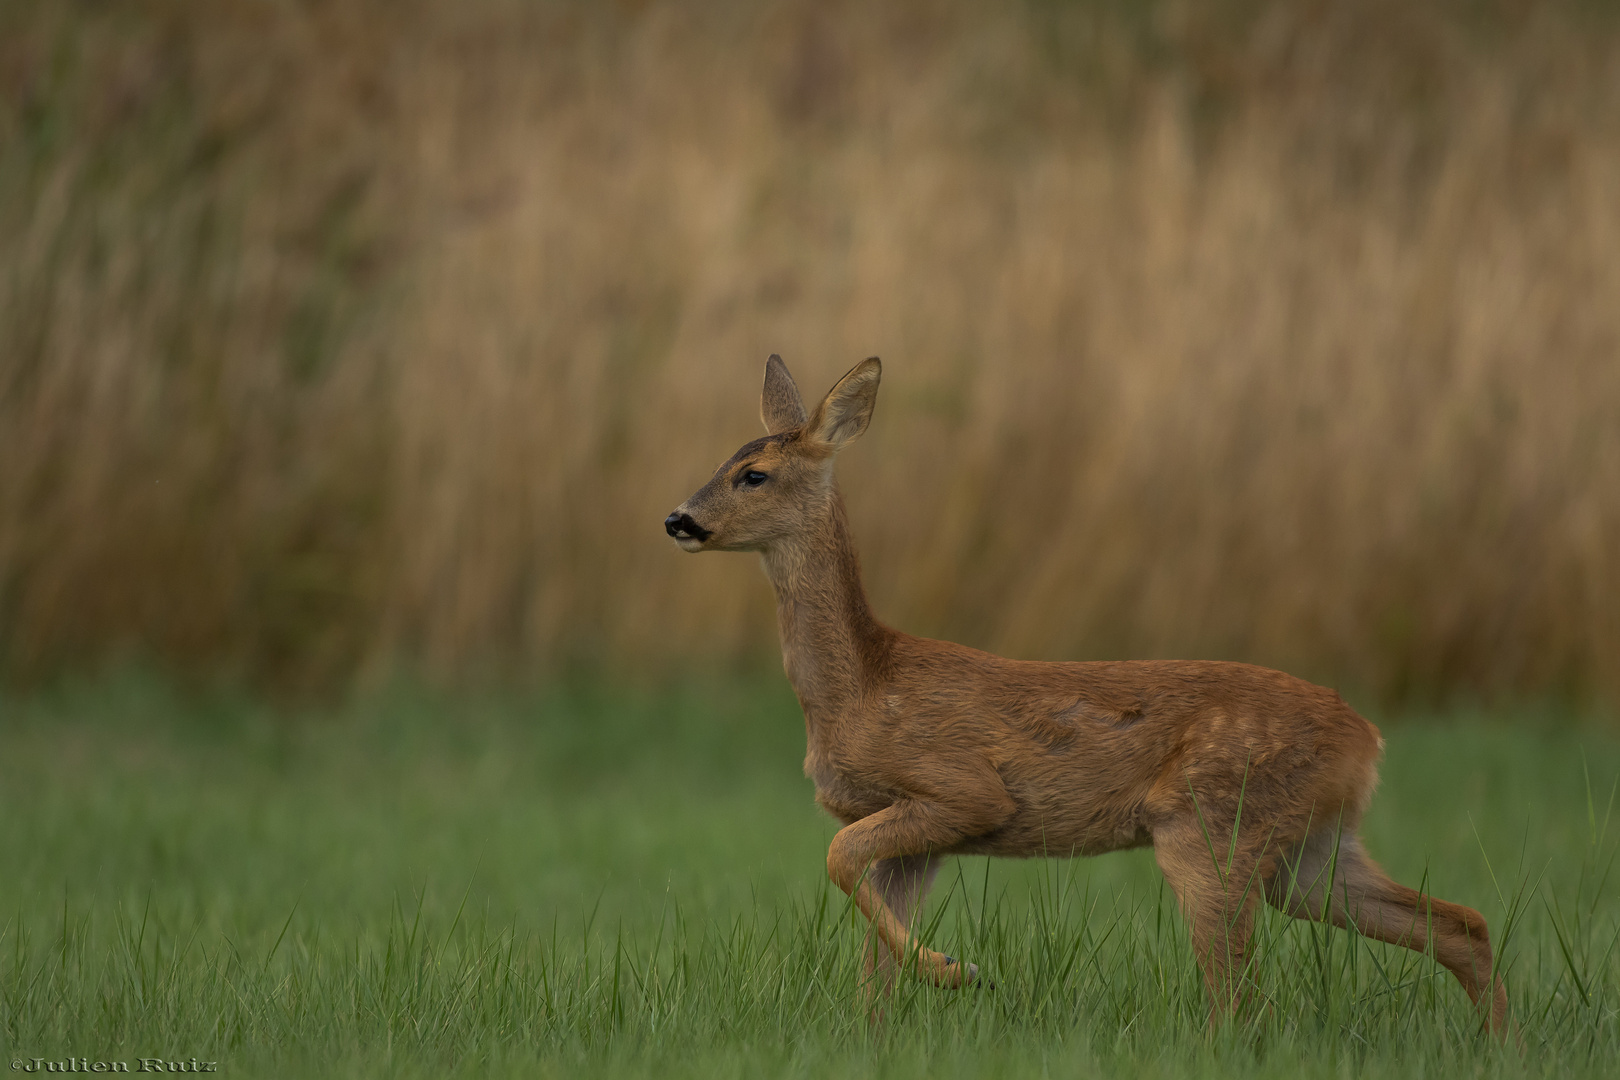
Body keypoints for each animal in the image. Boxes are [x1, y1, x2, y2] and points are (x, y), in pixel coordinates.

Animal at [657, 356, 1503, 1036]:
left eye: (754, 474)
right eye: (725, 460)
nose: (678, 519)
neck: (862, 685)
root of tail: (1368, 739)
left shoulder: (962, 790)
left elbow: (837, 861)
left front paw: (960, 971)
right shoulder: (918, 837)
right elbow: (873, 965)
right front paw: (891, 1022)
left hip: (1212, 827)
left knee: (1241, 998)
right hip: (1310, 850)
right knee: (1463, 924)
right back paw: (1502, 1044)